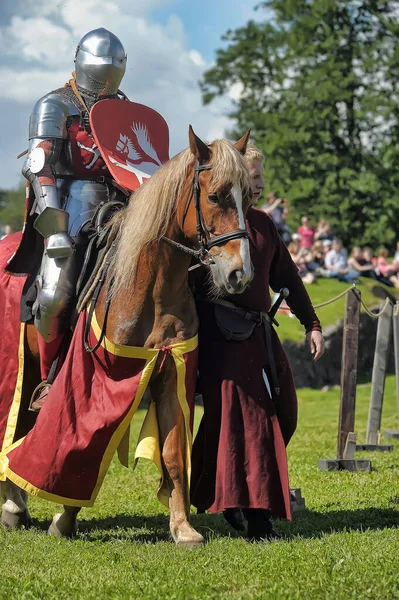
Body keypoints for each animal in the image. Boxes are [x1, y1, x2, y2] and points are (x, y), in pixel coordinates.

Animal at [0, 127, 253, 548]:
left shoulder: (172, 370)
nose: (240, 273)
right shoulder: (102, 377)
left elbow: (172, 453)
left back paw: (16, 505)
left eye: (249, 198)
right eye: (215, 195)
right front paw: (64, 518)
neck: (152, 283)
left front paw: (182, 527)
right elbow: (83, 444)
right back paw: (13, 504)